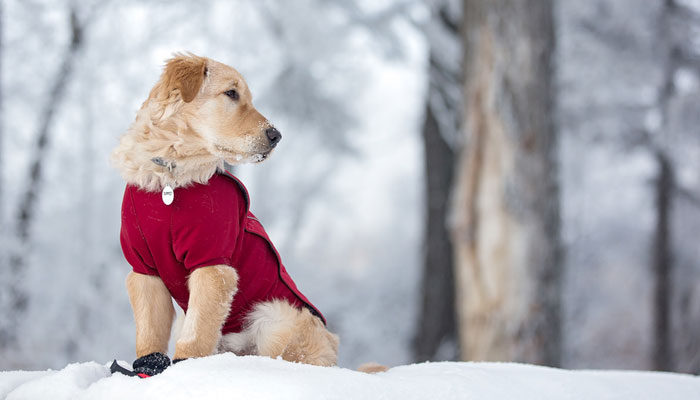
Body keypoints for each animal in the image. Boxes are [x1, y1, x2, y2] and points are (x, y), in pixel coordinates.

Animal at [110, 53, 340, 376]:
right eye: (231, 93)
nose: (276, 135)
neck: (171, 177)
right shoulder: (144, 268)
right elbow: (149, 333)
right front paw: (148, 369)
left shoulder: (212, 263)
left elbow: (197, 335)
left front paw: (185, 369)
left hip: (274, 316)